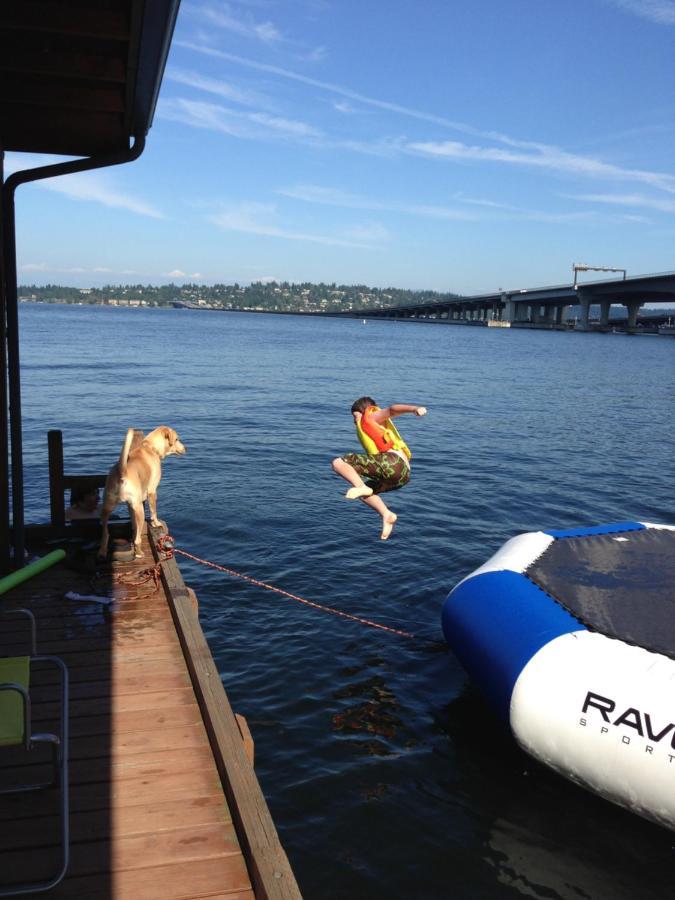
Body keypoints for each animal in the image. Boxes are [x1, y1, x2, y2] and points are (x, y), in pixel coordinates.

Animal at [98, 426, 187, 560]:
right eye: (177, 439)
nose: (186, 448)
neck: (151, 448)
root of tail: (122, 472)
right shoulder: (152, 491)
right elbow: (154, 512)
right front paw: (156, 523)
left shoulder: (130, 505)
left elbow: (134, 525)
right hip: (139, 508)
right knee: (137, 540)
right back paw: (139, 553)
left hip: (107, 507)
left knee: (105, 535)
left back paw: (102, 552)